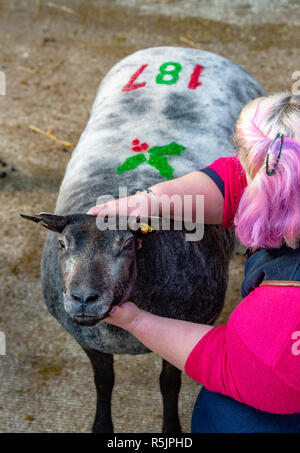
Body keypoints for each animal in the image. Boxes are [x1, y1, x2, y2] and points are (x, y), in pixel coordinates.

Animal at [21, 46, 264, 430]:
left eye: (128, 244)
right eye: (62, 245)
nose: (83, 298)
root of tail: (182, 49)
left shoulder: (185, 329)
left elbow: (169, 383)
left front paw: (171, 427)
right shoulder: (88, 340)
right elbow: (103, 381)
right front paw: (102, 425)